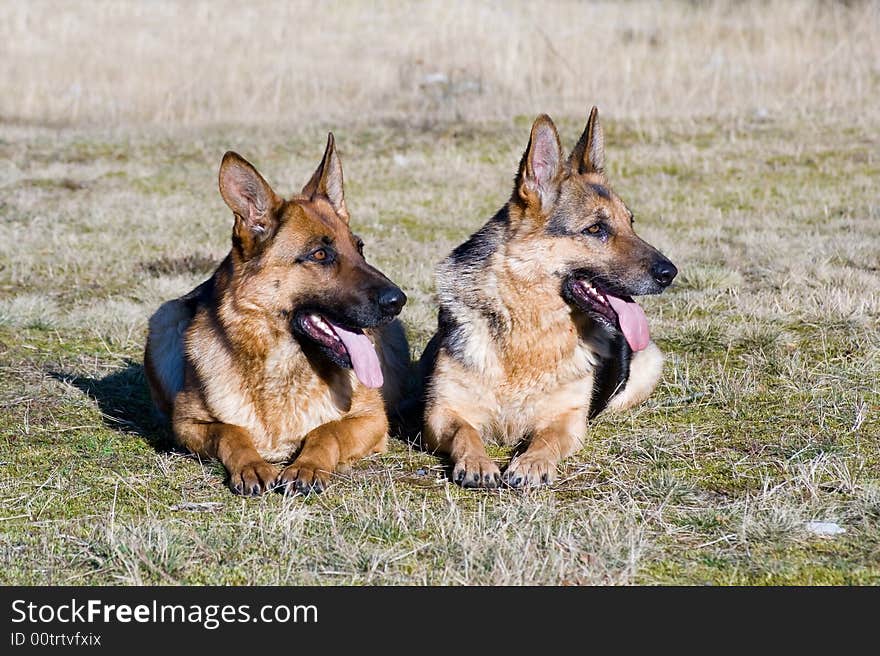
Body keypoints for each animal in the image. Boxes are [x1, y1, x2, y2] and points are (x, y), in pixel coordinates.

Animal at [144, 135, 410, 498]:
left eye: (360, 248)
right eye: (320, 255)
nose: (399, 301)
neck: (283, 363)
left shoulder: (371, 419)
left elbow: (327, 431)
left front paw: (307, 465)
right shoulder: (188, 423)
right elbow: (231, 432)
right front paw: (252, 465)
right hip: (165, 317)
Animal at [422, 106, 676, 486]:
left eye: (631, 223)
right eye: (596, 229)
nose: (670, 273)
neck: (527, 330)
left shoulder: (567, 420)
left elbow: (546, 439)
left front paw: (531, 463)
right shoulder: (441, 412)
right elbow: (465, 433)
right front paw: (478, 462)